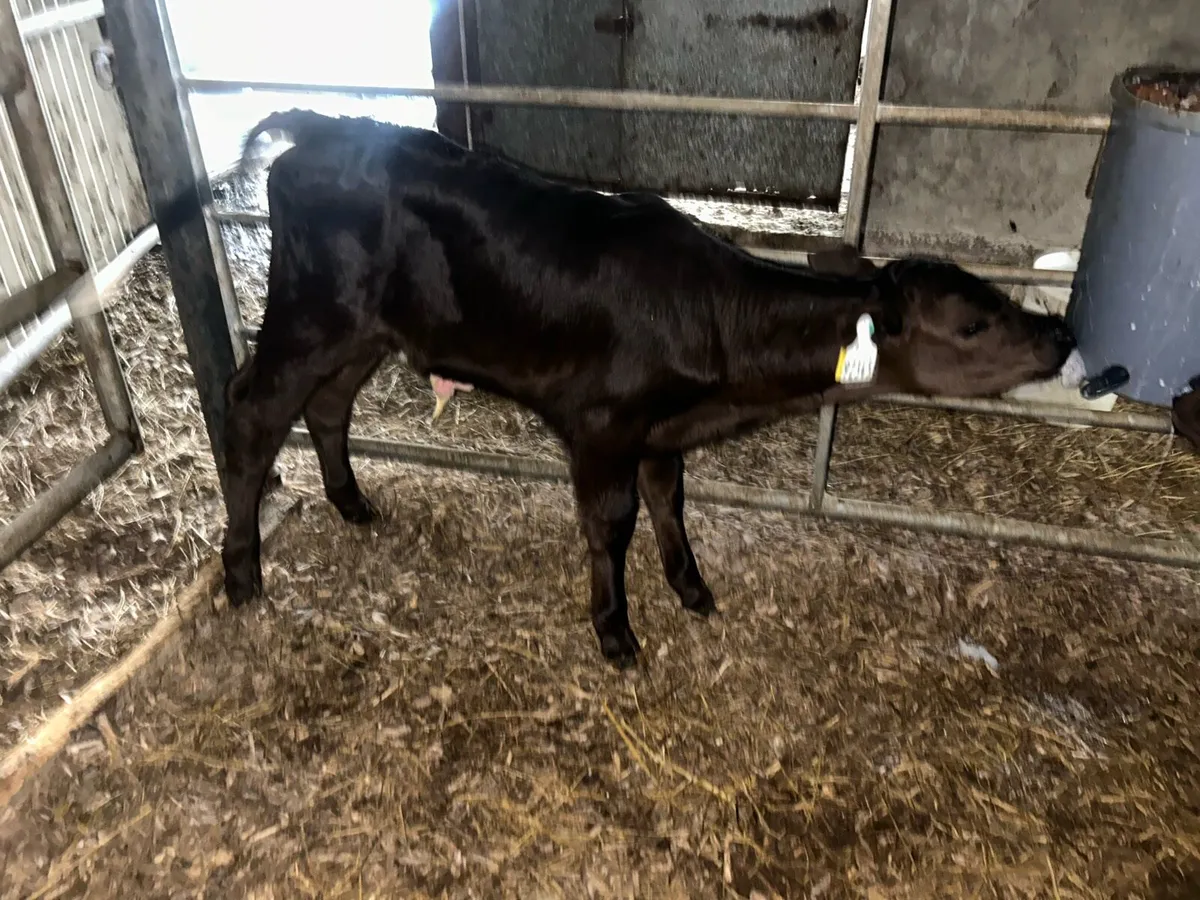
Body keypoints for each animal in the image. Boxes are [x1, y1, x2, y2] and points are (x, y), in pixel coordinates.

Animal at [221, 110, 1077, 668]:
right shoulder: (602, 425)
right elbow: (611, 525)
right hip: (311, 311)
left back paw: (351, 503)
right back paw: (241, 572)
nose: (1062, 334)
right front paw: (614, 630)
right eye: (974, 322)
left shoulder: (665, 429)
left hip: (368, 329)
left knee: (326, 404)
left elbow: (670, 500)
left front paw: (690, 586)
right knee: (254, 410)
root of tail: (320, 130)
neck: (720, 341)